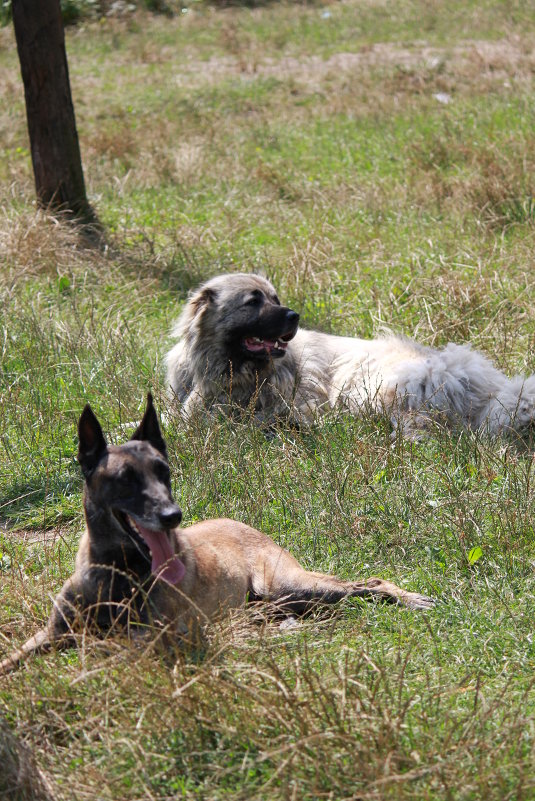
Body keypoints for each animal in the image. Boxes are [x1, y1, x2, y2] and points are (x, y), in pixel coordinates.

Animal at [0, 396, 434, 672]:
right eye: (125, 478)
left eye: (164, 472)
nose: (173, 516)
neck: (118, 573)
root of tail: (247, 526)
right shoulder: (47, 634)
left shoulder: (150, 643)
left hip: (289, 584)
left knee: (368, 583)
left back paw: (412, 598)